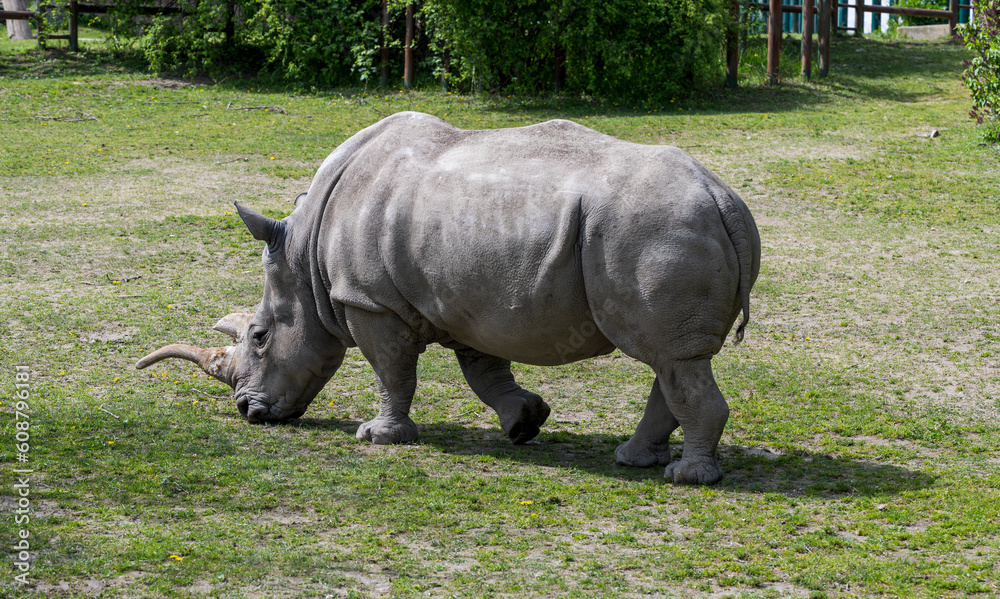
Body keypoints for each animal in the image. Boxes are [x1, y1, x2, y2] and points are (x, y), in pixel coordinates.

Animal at [137, 111, 760, 484]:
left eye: (261, 337)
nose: (249, 412)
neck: (305, 256)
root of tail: (725, 201)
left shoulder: (369, 301)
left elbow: (392, 372)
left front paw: (378, 437)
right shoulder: (472, 300)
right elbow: (484, 370)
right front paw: (524, 423)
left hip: (653, 230)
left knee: (673, 359)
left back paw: (687, 478)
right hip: (661, 228)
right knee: (671, 359)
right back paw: (635, 459)